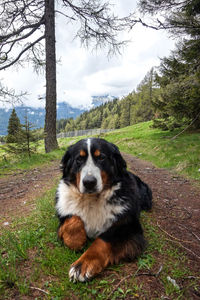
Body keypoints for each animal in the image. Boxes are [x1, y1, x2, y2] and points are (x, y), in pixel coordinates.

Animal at [54, 137, 152, 282]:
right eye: (79, 159)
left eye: (101, 158)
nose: (89, 182)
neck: (92, 199)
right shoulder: (64, 208)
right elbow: (73, 218)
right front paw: (76, 240)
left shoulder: (129, 226)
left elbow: (103, 240)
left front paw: (83, 264)